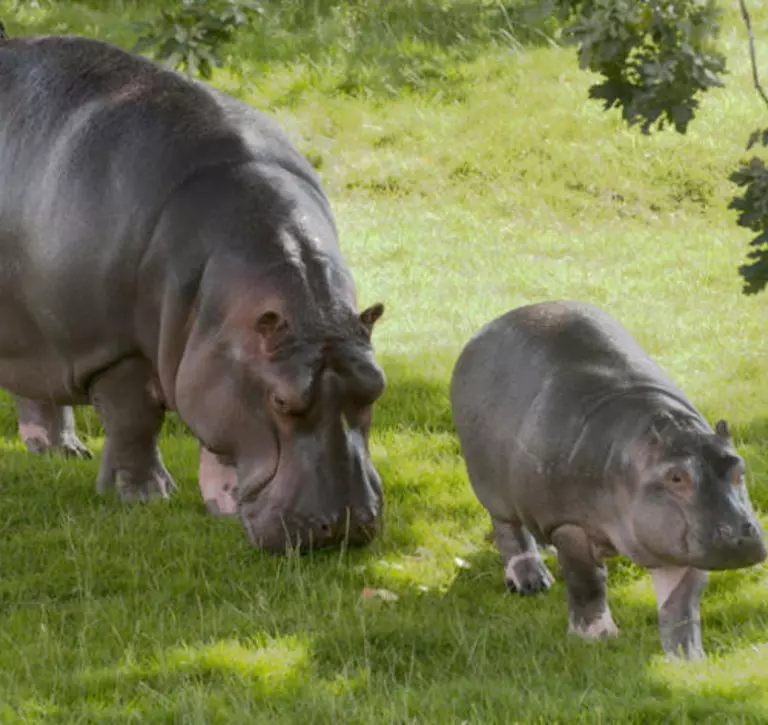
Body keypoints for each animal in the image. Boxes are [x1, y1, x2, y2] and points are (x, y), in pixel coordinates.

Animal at [0, 26, 388, 548]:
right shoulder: (117, 352)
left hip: (37, 325)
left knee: (39, 389)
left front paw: (220, 506)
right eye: (282, 401)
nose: (346, 526)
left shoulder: (213, 358)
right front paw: (146, 498)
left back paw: (62, 452)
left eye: (375, 385)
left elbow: (219, 441)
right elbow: (134, 422)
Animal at [452, 298, 764, 656]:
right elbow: (587, 582)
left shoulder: (682, 547)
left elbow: (682, 603)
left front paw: (688, 658)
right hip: (491, 488)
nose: (740, 535)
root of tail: (491, 326)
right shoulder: (569, 523)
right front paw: (597, 638)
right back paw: (531, 582)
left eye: (740, 467)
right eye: (676, 477)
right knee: (509, 531)